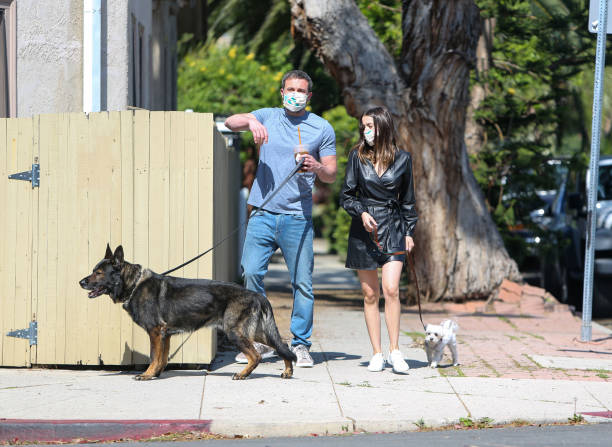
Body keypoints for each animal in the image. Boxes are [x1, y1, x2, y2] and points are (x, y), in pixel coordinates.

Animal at [79, 245, 296, 382]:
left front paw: (147, 375)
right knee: (282, 346)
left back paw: (243, 374)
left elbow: (154, 356)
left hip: (235, 333)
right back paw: (287, 371)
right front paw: (156, 373)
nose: (80, 282)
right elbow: (162, 358)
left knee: (256, 356)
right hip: (255, 333)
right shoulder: (164, 336)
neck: (134, 285)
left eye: (99, 273)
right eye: (93, 270)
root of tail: (256, 294)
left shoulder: (155, 333)